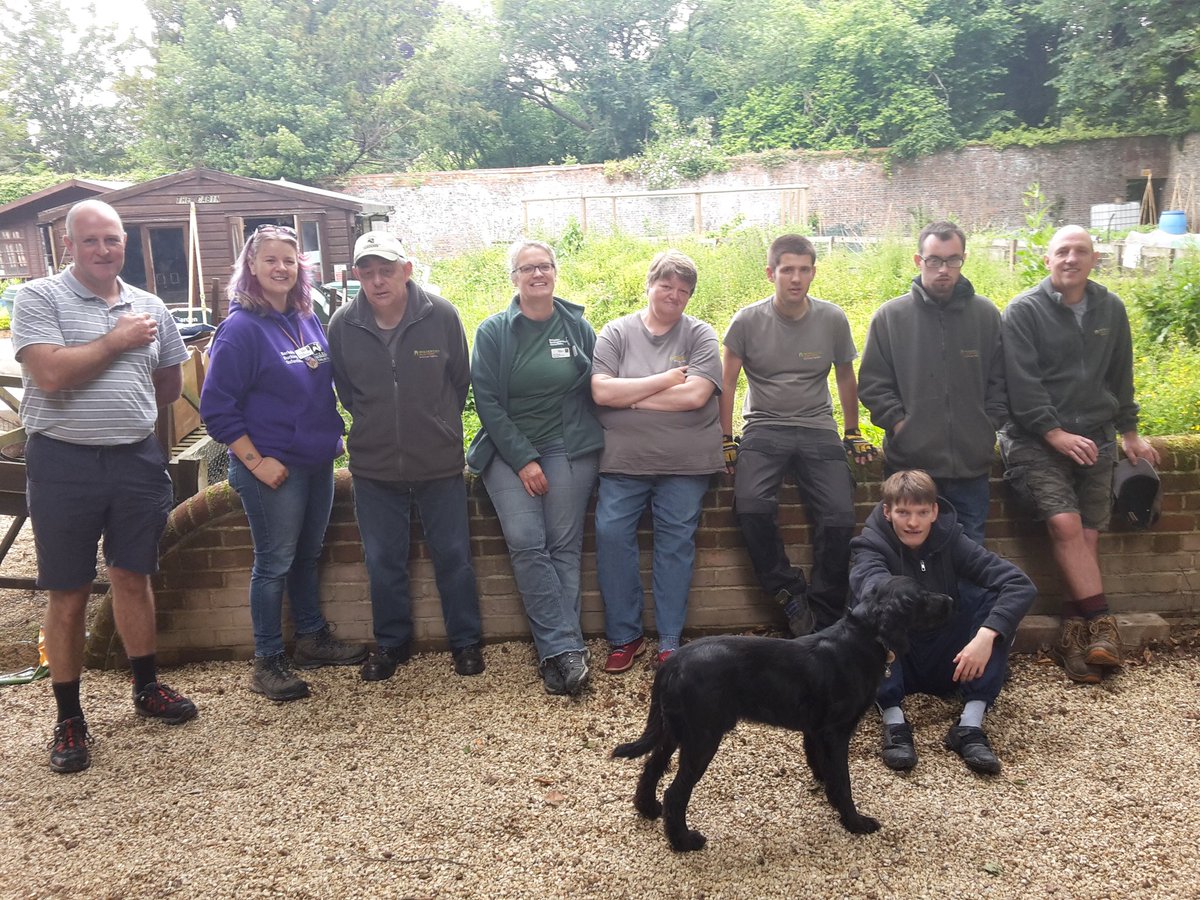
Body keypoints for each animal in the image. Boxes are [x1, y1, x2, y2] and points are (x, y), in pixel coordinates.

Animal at [614, 578, 950, 854]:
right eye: (921, 595)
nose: (949, 598)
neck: (861, 638)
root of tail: (673, 663)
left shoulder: (816, 730)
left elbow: (825, 769)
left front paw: (830, 797)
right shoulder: (836, 731)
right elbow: (843, 780)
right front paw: (855, 822)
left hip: (674, 731)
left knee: (651, 767)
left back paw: (648, 808)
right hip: (702, 738)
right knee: (675, 793)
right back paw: (684, 841)